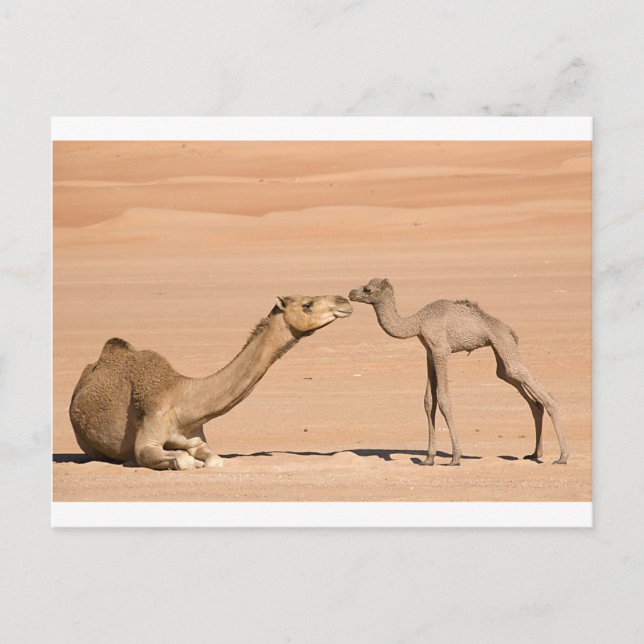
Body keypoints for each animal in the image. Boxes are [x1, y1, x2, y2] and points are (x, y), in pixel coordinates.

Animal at [69, 294, 352, 470]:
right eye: (307, 305)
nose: (345, 301)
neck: (184, 401)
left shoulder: (197, 438)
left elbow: (214, 460)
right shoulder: (147, 440)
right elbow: (179, 460)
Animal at [348, 278, 568, 466]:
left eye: (367, 289)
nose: (351, 293)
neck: (418, 322)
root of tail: (509, 330)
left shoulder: (441, 350)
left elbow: (444, 400)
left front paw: (455, 457)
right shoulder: (430, 353)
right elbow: (429, 401)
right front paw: (428, 458)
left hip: (503, 342)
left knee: (535, 386)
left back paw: (562, 456)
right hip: (500, 352)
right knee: (522, 390)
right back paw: (535, 453)